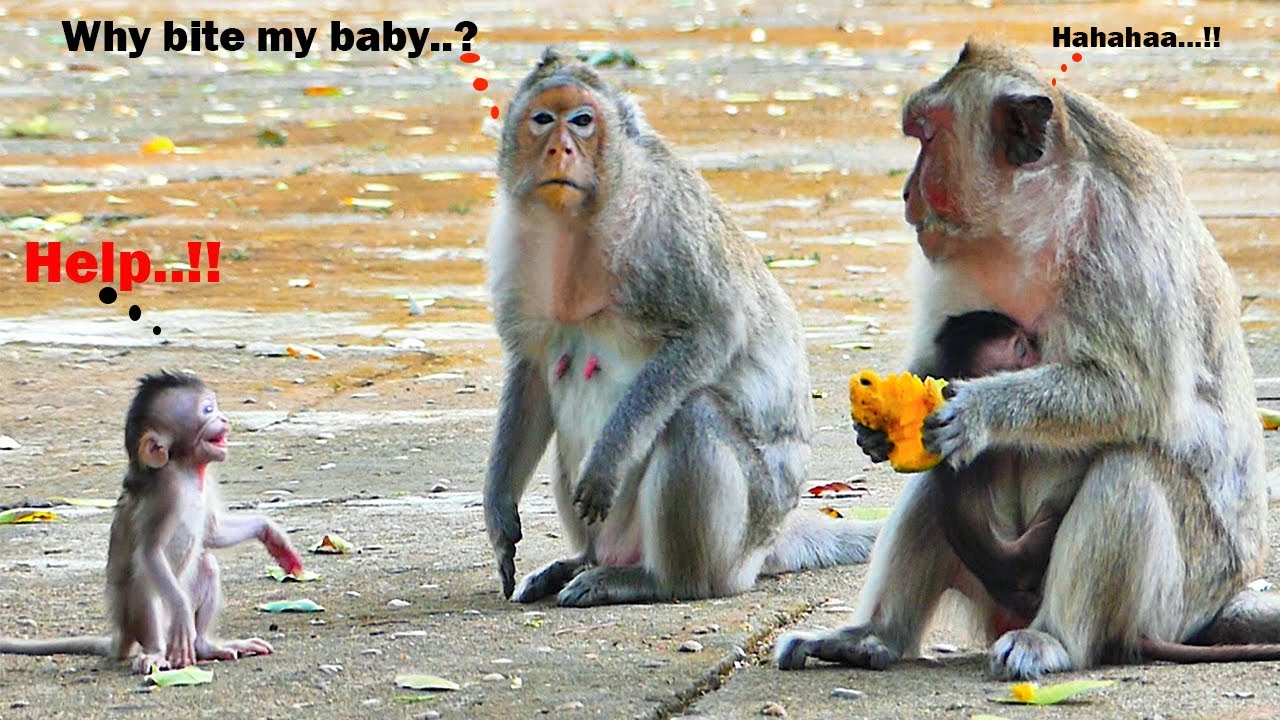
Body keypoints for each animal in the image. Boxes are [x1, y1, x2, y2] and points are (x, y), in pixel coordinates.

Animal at [0, 371, 304, 674]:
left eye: (214, 408)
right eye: (207, 410)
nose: (224, 419)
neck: (186, 471)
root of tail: (122, 635)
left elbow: (212, 534)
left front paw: (273, 536)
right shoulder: (168, 493)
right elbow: (150, 552)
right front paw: (181, 611)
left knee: (206, 563)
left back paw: (206, 646)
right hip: (139, 617)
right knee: (144, 580)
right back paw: (157, 652)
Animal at [482, 49, 878, 608]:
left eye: (581, 120)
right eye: (542, 119)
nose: (560, 148)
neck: (579, 223)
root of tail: (769, 544)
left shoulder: (665, 232)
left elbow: (714, 331)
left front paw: (607, 462)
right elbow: (533, 373)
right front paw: (498, 516)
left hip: (746, 529)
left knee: (693, 414)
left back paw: (657, 580)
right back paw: (582, 561)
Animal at [776, 41, 1279, 679]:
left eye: (928, 137)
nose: (907, 192)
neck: (1039, 223)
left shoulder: (1123, 246)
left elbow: (1136, 394)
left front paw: (979, 411)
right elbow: (932, 359)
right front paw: (877, 426)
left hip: (1174, 599)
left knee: (1130, 466)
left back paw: (1054, 638)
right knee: (936, 477)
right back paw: (870, 636)